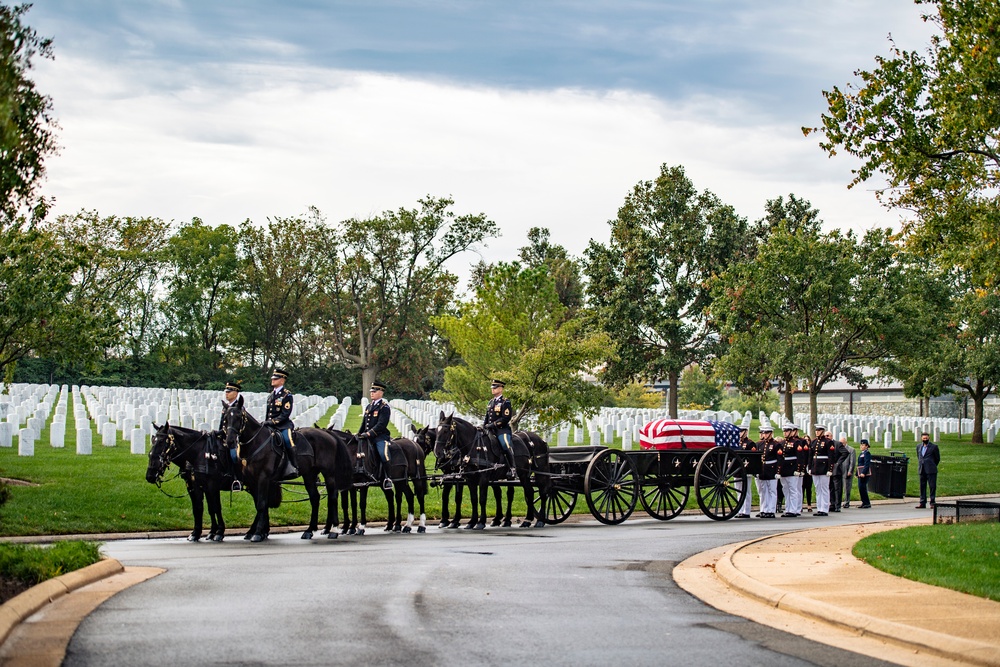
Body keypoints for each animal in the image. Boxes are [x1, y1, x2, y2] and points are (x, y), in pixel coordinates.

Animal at [224, 396, 356, 544]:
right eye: (225, 418)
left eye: (238, 417)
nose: (229, 441)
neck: (256, 443)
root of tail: (328, 434)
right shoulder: (252, 481)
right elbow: (259, 504)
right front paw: (259, 531)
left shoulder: (263, 478)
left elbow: (262, 504)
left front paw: (258, 533)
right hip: (309, 474)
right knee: (315, 498)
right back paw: (309, 530)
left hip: (329, 474)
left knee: (332, 497)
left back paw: (333, 530)